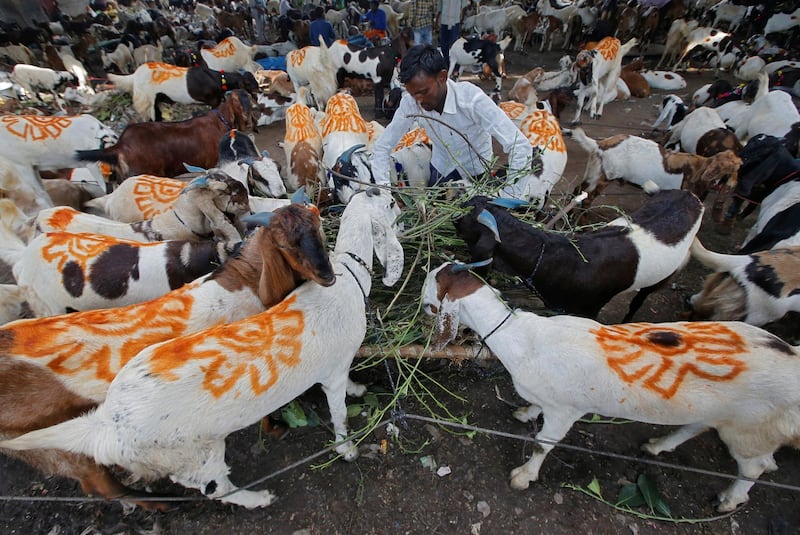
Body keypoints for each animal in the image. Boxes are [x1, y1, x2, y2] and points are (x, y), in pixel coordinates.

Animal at [0, 188, 404, 510]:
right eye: (388, 204)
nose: (390, 194)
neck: (349, 276)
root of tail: (107, 425)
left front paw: (358, 389)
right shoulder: (332, 373)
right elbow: (340, 414)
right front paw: (347, 450)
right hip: (197, 455)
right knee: (214, 488)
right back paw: (256, 498)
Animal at [418, 262, 800, 512]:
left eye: (428, 298)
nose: (419, 311)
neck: (524, 338)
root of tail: (792, 356)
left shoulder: (566, 409)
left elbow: (543, 444)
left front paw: (523, 476)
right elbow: (535, 410)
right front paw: (526, 412)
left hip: (749, 428)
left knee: (754, 467)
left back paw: (728, 500)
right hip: (725, 414)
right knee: (698, 426)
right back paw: (658, 446)